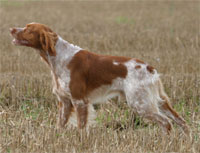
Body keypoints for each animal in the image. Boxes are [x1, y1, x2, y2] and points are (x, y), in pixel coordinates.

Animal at [10, 22, 190, 134]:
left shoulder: (79, 101)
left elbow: (81, 127)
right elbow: (60, 125)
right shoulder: (65, 102)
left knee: (166, 122)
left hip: (140, 103)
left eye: (28, 29)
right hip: (157, 101)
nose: (11, 29)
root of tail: (149, 68)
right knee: (180, 120)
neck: (59, 57)